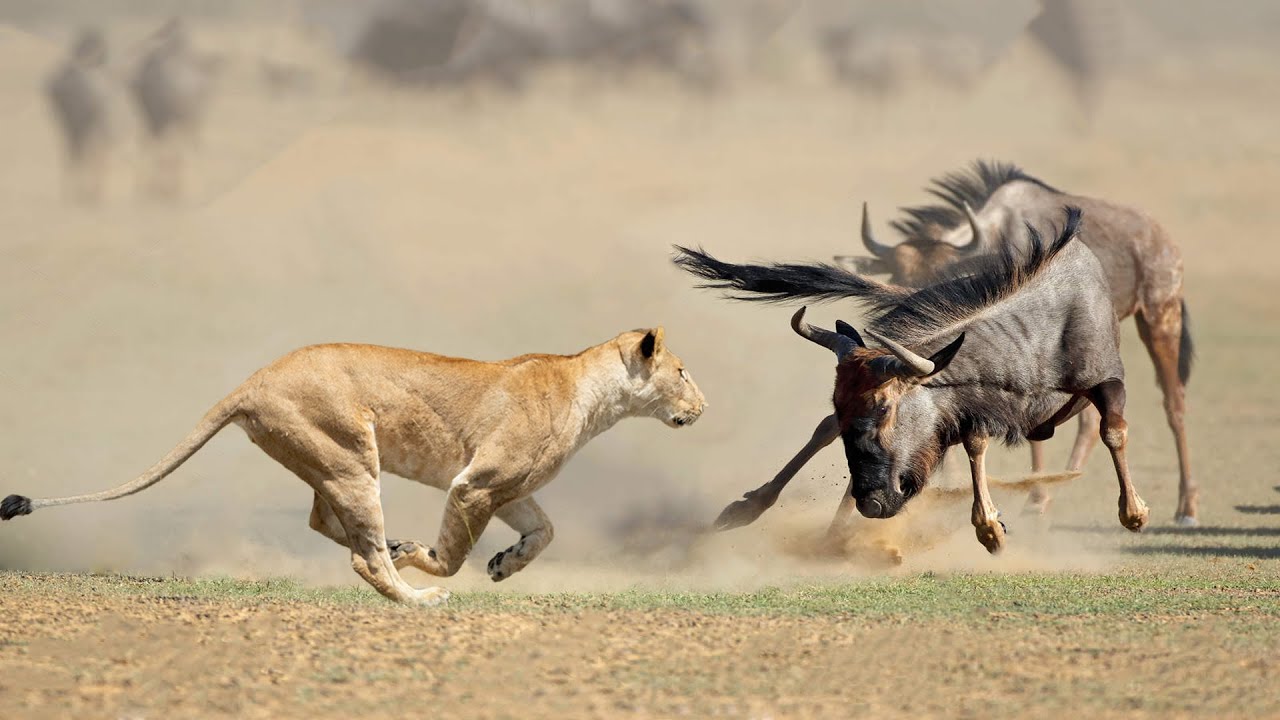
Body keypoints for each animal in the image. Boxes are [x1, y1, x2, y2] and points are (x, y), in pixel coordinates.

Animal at [0, 328, 706, 606]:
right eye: (681, 372)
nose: (703, 406)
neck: (594, 395)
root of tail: (253, 380)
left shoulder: (510, 489)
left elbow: (545, 531)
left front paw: (505, 564)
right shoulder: (476, 484)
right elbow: (452, 552)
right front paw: (429, 558)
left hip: (330, 461)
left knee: (324, 524)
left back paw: (390, 549)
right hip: (350, 456)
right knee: (361, 557)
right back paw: (415, 594)